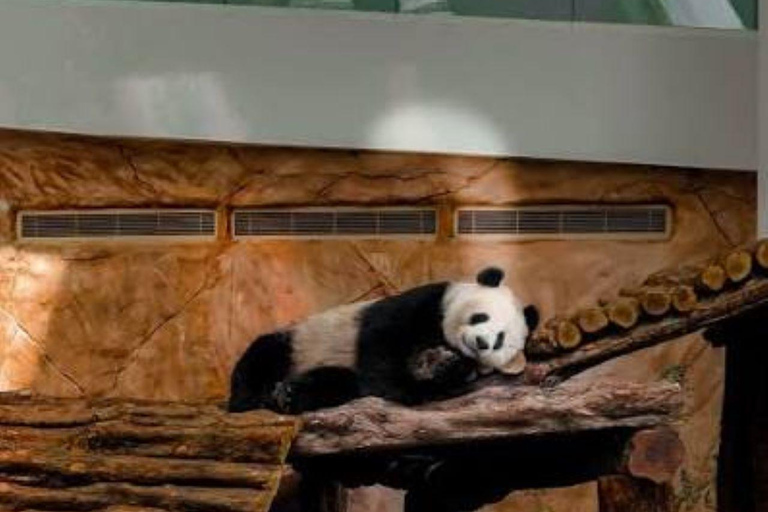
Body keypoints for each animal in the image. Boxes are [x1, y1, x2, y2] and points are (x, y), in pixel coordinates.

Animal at [228, 267, 538, 414]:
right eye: (480, 317)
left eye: (500, 340)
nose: (481, 342)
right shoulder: (424, 302)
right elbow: (381, 343)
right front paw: (406, 387)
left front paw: (436, 373)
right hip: (298, 340)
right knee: (263, 356)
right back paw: (255, 397)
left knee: (337, 381)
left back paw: (290, 394)